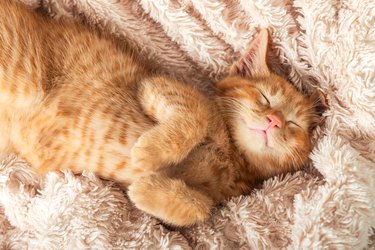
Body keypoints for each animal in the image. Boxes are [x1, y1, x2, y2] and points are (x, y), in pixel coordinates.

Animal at [0, 0, 324, 227]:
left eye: (293, 124)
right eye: (264, 97)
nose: (274, 120)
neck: (233, 154)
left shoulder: (220, 197)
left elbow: (204, 207)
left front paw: (147, 189)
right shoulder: (154, 84)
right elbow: (195, 116)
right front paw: (149, 153)